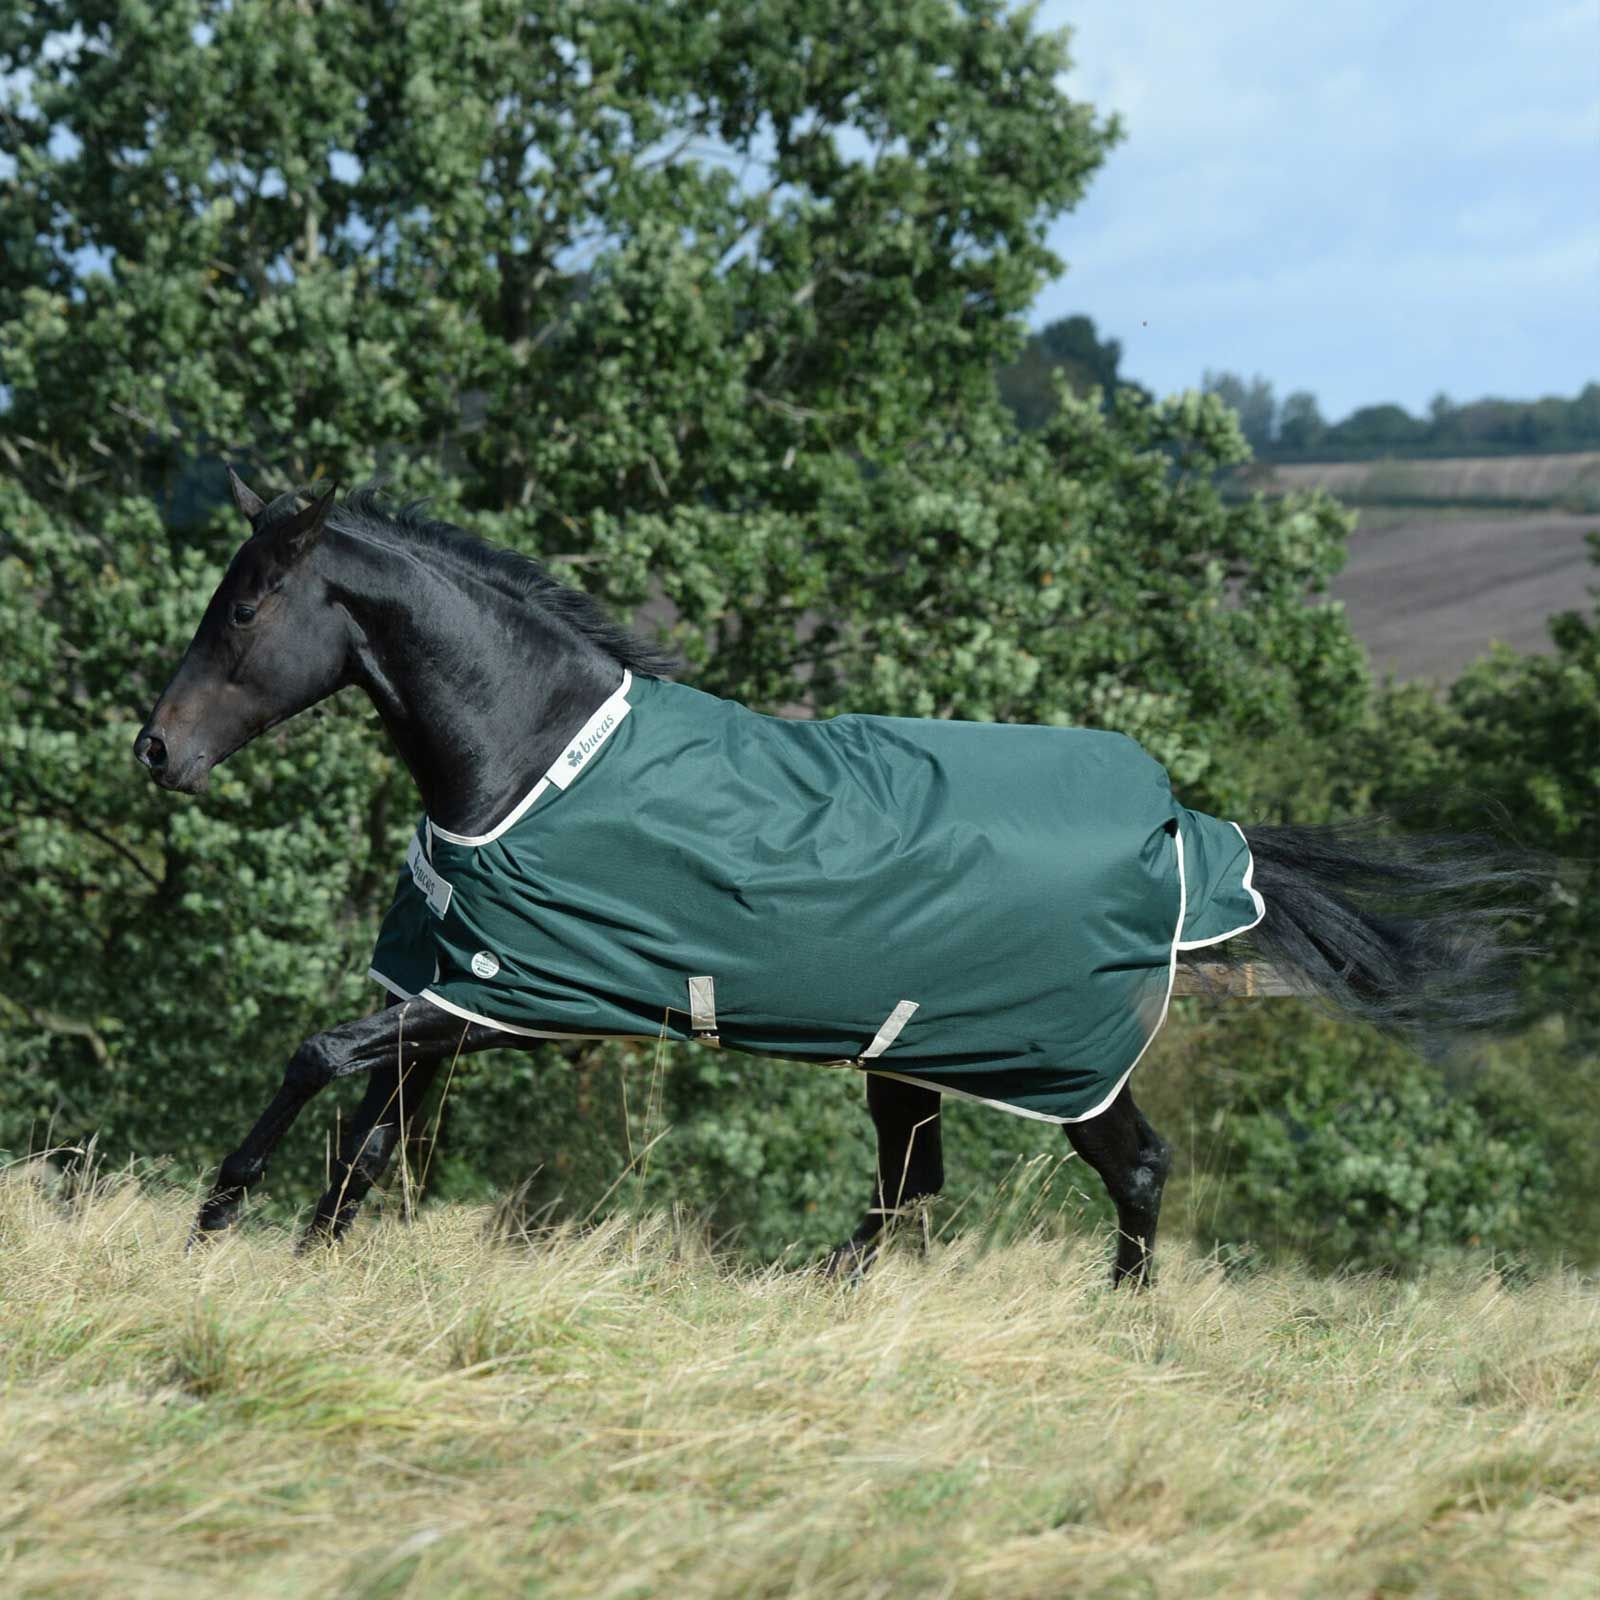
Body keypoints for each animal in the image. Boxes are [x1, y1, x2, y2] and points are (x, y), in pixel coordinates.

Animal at [134, 472, 1533, 1281]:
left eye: (245, 610)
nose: (157, 751)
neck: (532, 756)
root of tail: (1185, 827)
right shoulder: (457, 994)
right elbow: (367, 1142)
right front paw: (309, 1258)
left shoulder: (516, 998)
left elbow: (318, 1060)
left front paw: (214, 1220)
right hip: (911, 1052)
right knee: (912, 1190)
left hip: (1056, 1060)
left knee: (1130, 1172)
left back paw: (1119, 1330)